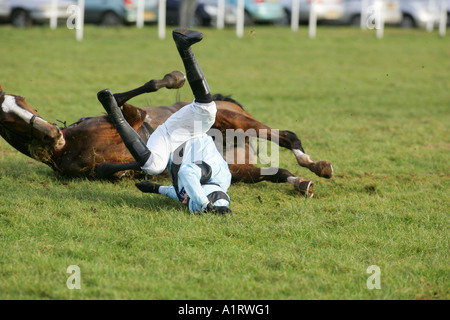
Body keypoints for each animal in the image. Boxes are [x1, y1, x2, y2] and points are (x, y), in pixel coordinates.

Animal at [0, 72, 330, 195]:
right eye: (5, 118)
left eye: (23, 100)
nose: (53, 132)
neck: (68, 145)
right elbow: (113, 168)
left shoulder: (133, 117)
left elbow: (118, 98)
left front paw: (173, 78)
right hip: (239, 168)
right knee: (277, 171)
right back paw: (301, 181)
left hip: (233, 119)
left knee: (286, 135)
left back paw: (314, 164)